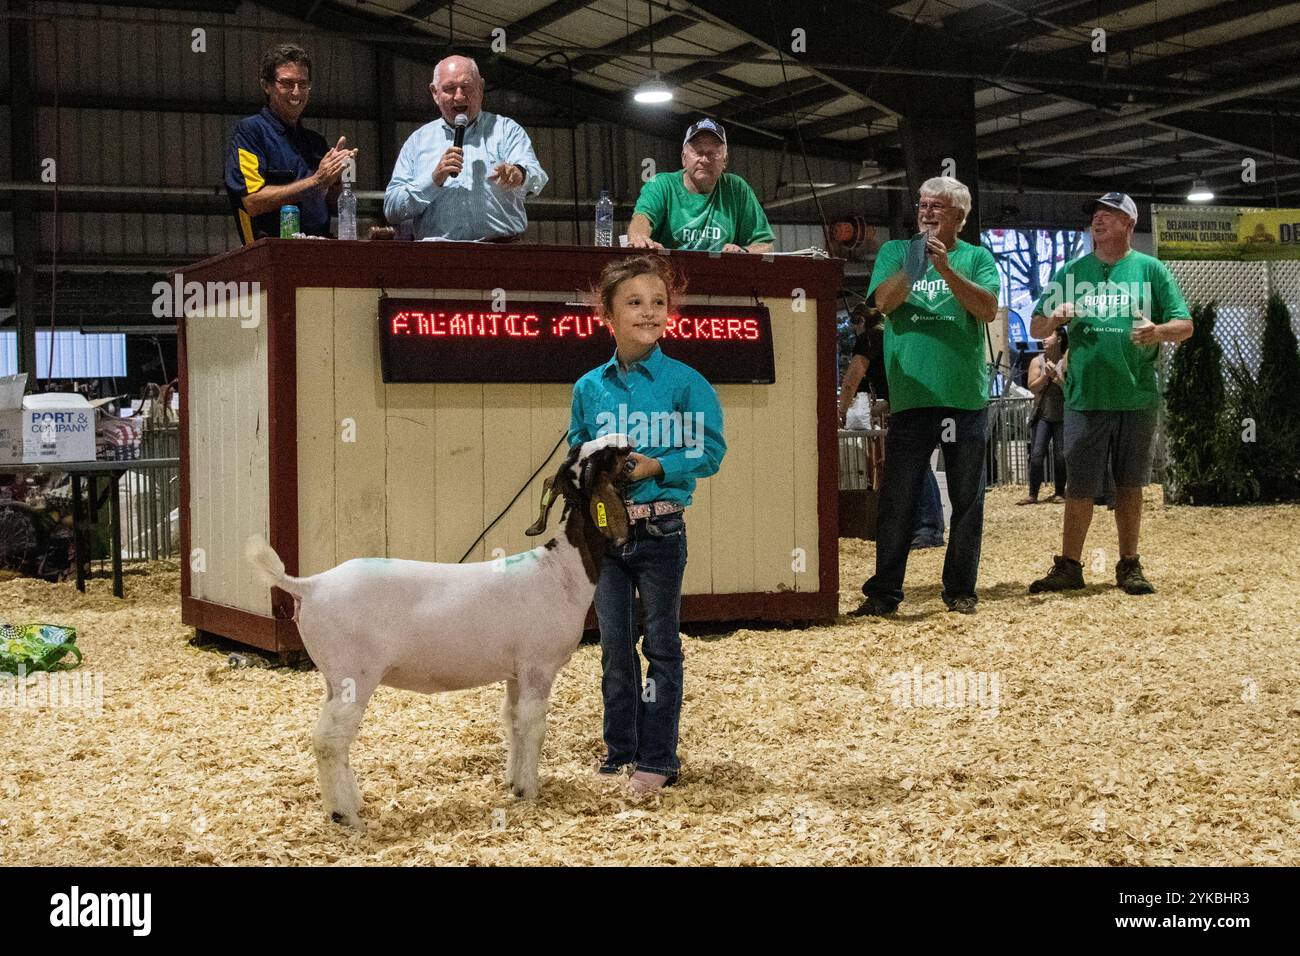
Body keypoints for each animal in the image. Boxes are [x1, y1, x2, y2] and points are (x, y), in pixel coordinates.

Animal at [245, 437, 631, 827]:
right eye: (602, 457)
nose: (627, 444)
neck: (562, 570)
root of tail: (309, 585)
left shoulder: (516, 672)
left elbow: (513, 721)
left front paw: (513, 782)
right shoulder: (538, 667)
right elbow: (534, 727)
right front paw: (530, 790)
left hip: (333, 678)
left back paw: (351, 803)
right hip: (354, 675)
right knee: (329, 739)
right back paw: (345, 815)